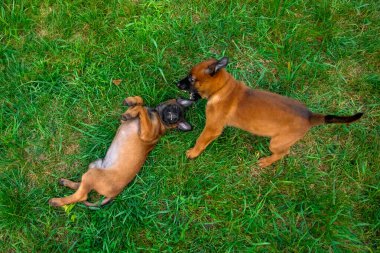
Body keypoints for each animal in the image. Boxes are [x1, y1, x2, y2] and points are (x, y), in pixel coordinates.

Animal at [48, 96, 193, 207]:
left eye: (176, 118)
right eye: (175, 108)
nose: (174, 117)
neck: (157, 115)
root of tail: (115, 194)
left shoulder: (147, 133)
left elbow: (141, 109)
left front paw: (134, 109)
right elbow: (140, 102)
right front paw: (132, 103)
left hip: (92, 174)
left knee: (82, 195)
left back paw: (57, 201)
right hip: (94, 165)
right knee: (82, 186)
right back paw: (65, 182)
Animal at [177, 57, 364, 168]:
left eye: (192, 79)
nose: (177, 84)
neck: (222, 89)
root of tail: (310, 116)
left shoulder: (212, 128)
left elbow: (201, 141)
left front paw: (193, 153)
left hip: (276, 142)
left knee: (283, 152)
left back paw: (266, 162)